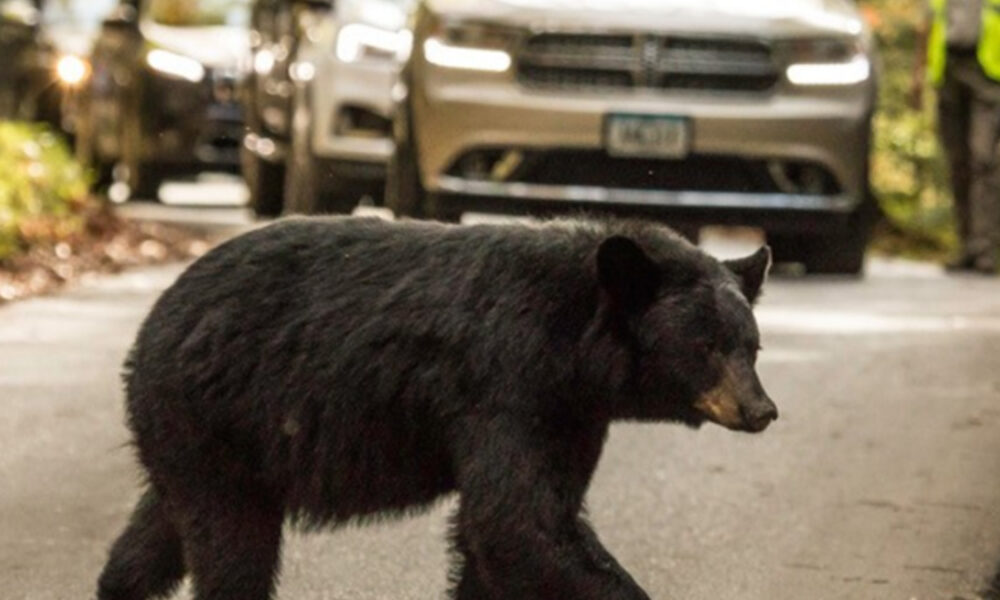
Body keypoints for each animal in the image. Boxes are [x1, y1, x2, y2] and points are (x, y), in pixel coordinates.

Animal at [96, 216, 777, 600]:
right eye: (705, 345)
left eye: (751, 345)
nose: (762, 410)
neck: (574, 342)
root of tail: (150, 325)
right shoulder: (506, 385)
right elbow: (516, 522)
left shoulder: (571, 414)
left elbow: (511, 527)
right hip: (213, 416)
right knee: (232, 549)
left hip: (203, 439)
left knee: (158, 533)